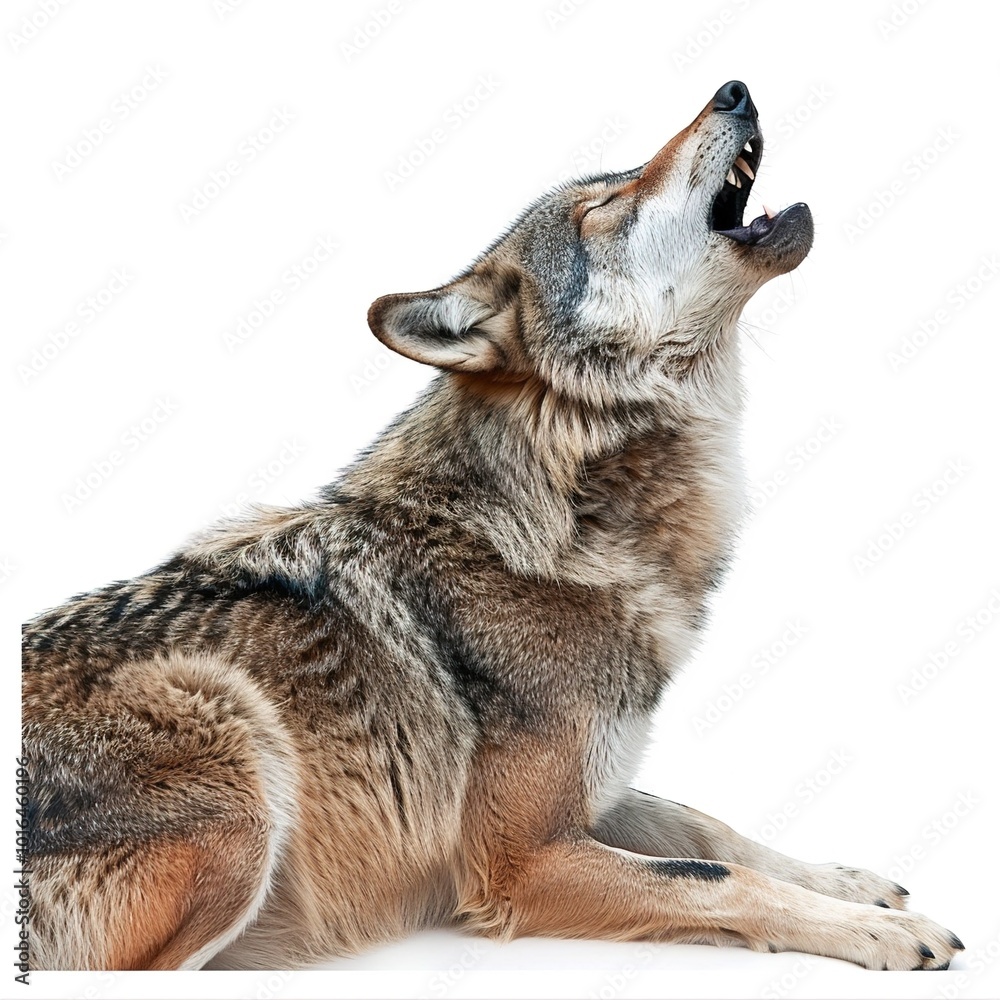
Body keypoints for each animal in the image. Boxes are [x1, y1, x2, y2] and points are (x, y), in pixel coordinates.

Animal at [23, 80, 963, 971]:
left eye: (613, 187)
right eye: (603, 208)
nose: (734, 89)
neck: (557, 526)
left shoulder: (593, 794)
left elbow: (714, 829)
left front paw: (854, 885)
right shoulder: (518, 861)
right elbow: (717, 873)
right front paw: (878, 934)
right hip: (227, 728)